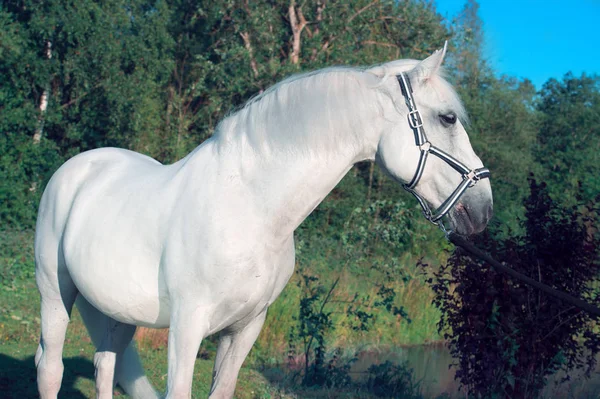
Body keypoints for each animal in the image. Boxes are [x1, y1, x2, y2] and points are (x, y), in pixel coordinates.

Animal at [34, 45, 492, 398]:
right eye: (448, 118)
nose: (482, 208)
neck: (250, 208)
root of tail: (78, 168)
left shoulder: (244, 328)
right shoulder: (186, 325)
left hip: (116, 313)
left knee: (106, 367)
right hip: (55, 294)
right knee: (50, 369)